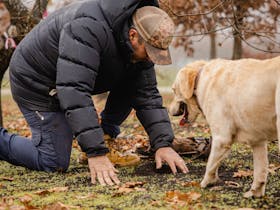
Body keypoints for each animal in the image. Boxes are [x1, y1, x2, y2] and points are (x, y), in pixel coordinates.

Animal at [168, 57, 280, 197]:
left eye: (173, 90)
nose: (168, 110)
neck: (200, 78)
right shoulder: (258, 141)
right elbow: (261, 169)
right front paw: (254, 193)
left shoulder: (222, 138)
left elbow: (210, 164)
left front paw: (205, 183)